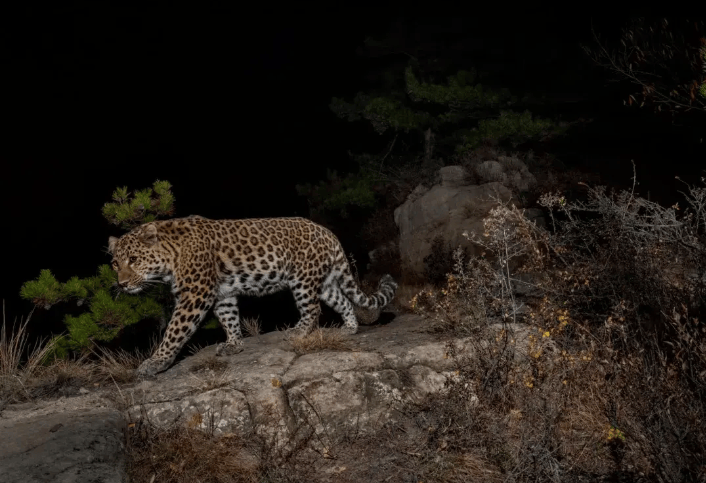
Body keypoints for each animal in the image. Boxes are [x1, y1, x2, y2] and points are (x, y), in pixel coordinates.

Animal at [108, 216, 396, 378]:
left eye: (133, 259)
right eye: (114, 263)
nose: (122, 284)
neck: (170, 258)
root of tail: (329, 234)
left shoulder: (195, 294)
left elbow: (174, 331)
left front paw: (155, 362)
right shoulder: (221, 293)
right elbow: (228, 318)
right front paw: (234, 344)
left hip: (302, 279)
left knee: (312, 309)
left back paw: (298, 332)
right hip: (323, 281)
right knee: (342, 300)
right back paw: (350, 328)